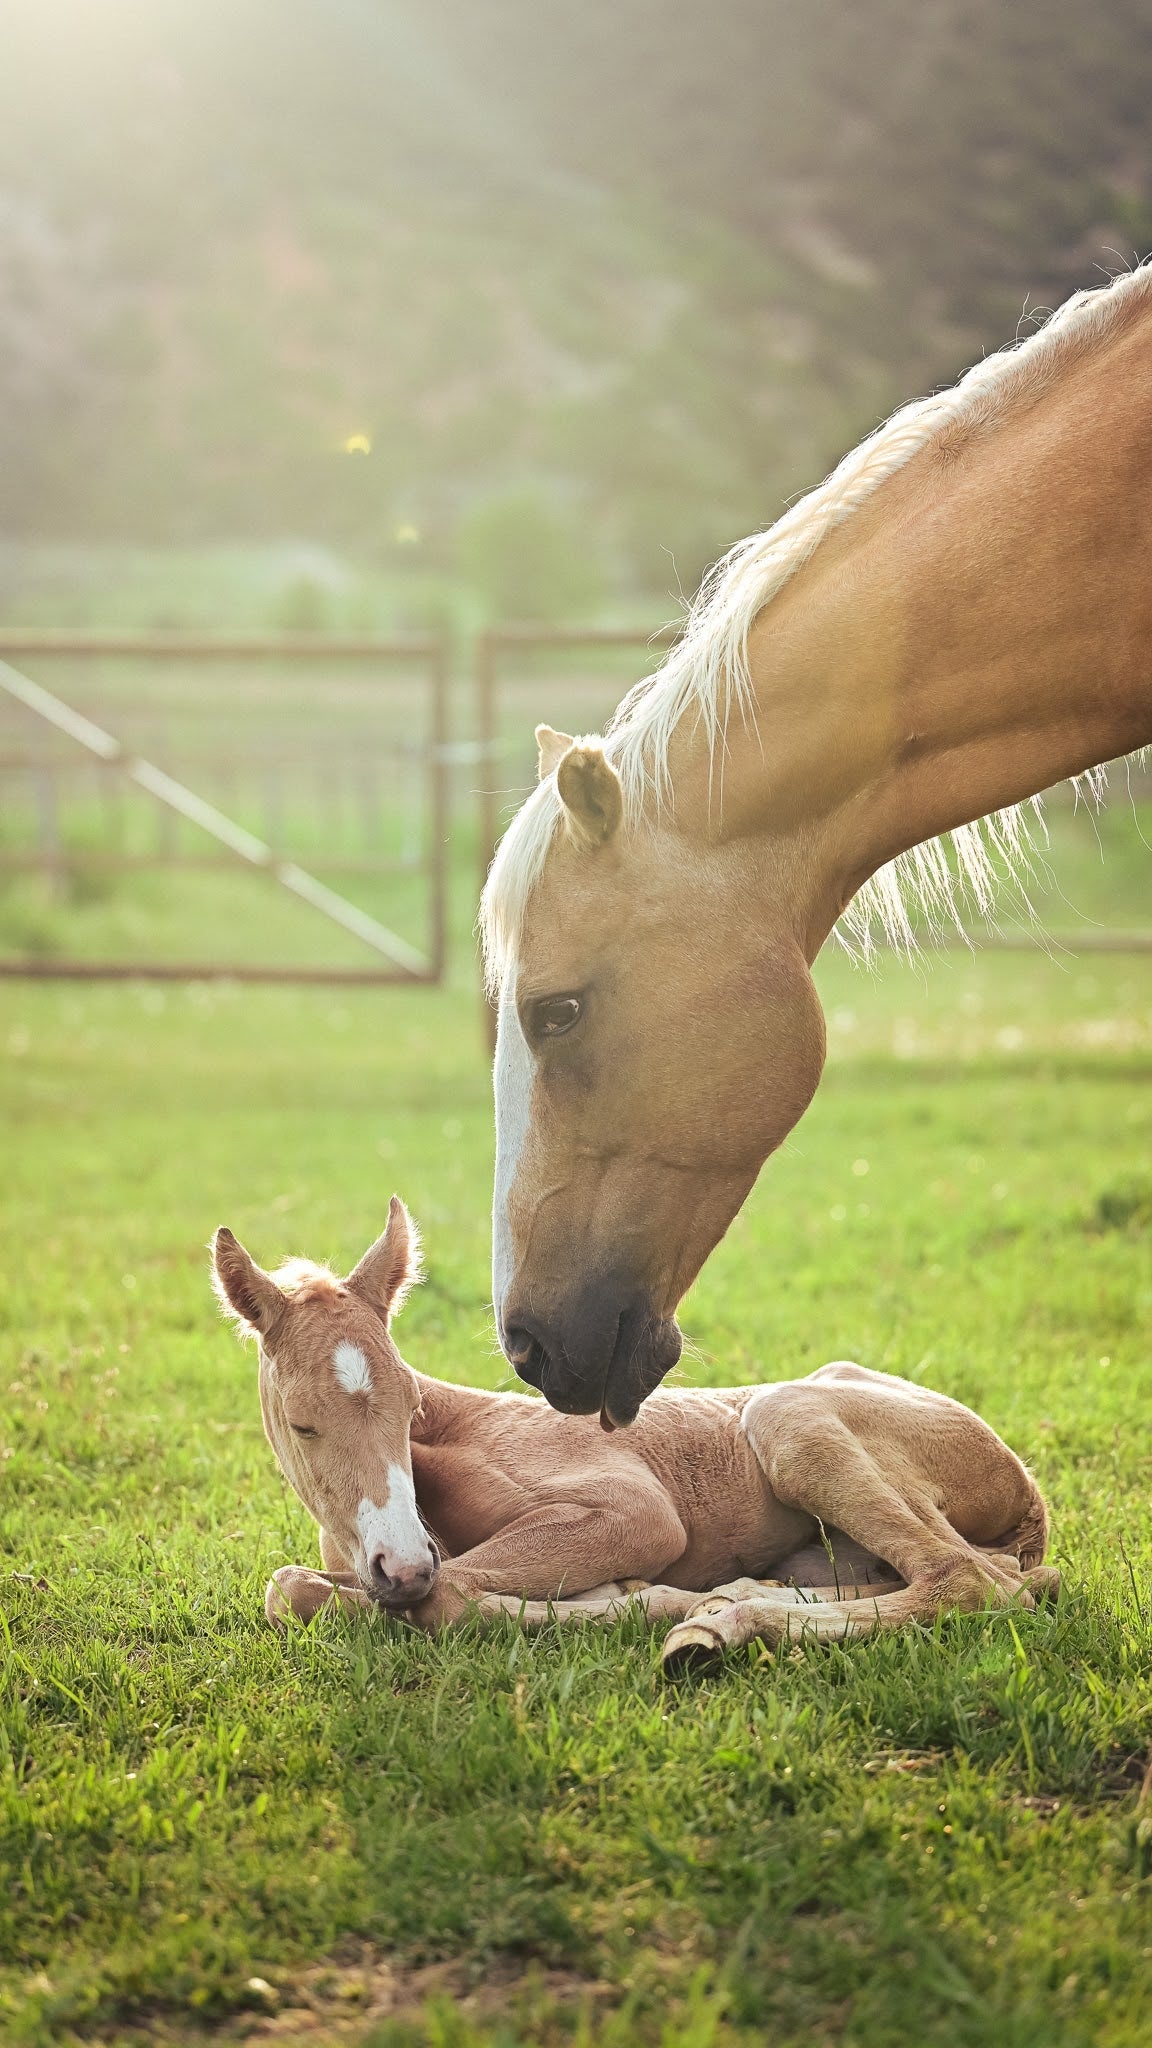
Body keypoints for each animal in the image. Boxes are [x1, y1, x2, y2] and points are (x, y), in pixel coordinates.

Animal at [211, 1199, 1057, 1673]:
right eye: (303, 1423)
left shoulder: (634, 1511)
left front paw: (635, 1597)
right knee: (985, 1576)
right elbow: (299, 1589)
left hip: (790, 1419)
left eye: (409, 1402)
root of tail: (1027, 1492)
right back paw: (728, 1605)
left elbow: (438, 1595)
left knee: (966, 1579)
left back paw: (719, 1623)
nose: (403, 1564)